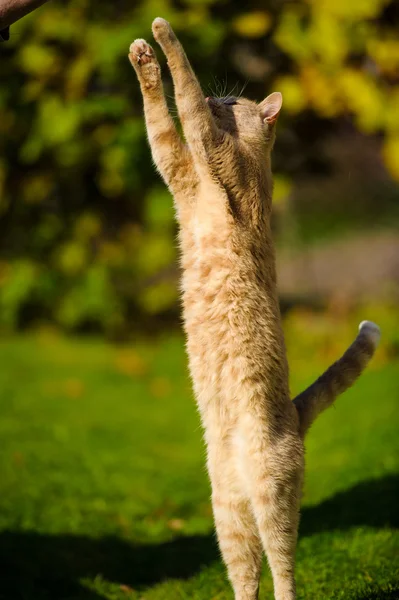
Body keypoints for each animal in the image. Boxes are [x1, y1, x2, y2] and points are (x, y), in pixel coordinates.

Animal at [128, 18, 382, 600]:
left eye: (234, 101)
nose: (220, 96)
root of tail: (295, 410)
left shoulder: (205, 144)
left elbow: (183, 90)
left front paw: (163, 35)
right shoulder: (175, 161)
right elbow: (160, 116)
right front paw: (142, 58)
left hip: (272, 498)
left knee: (283, 567)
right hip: (228, 519)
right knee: (247, 576)